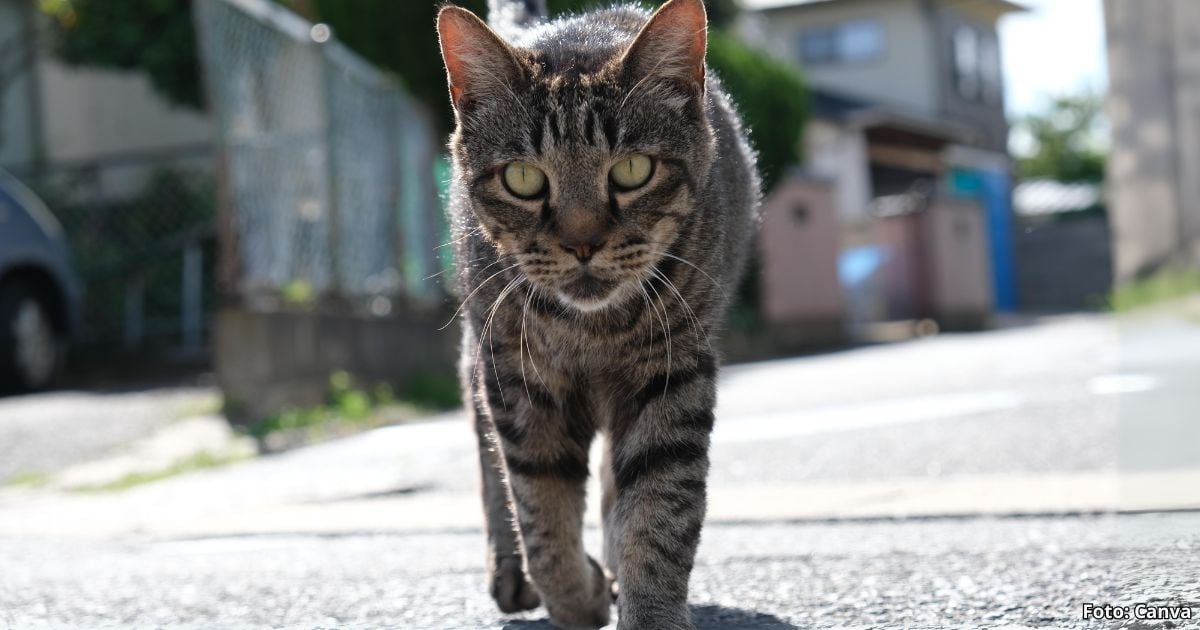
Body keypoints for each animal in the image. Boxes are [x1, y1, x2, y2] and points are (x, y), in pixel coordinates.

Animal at [439, 1, 758, 624]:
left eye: (633, 170)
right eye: (523, 179)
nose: (581, 243)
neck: (590, 331)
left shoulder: (673, 373)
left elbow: (657, 512)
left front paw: (646, 610)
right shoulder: (517, 383)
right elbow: (541, 518)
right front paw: (578, 598)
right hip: (477, 353)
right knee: (492, 468)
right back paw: (511, 572)